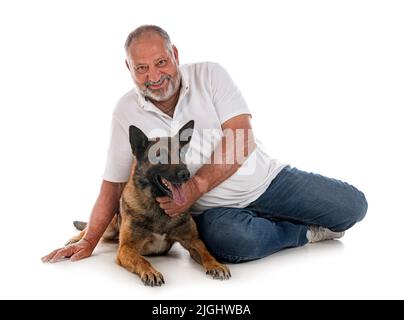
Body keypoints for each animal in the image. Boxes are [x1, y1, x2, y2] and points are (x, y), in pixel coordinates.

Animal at [68, 121, 232, 286]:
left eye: (180, 154)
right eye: (161, 156)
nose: (186, 174)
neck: (157, 207)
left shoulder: (193, 241)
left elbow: (206, 253)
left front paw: (216, 265)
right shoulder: (126, 248)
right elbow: (141, 260)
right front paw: (150, 272)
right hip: (109, 226)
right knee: (91, 229)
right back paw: (76, 240)